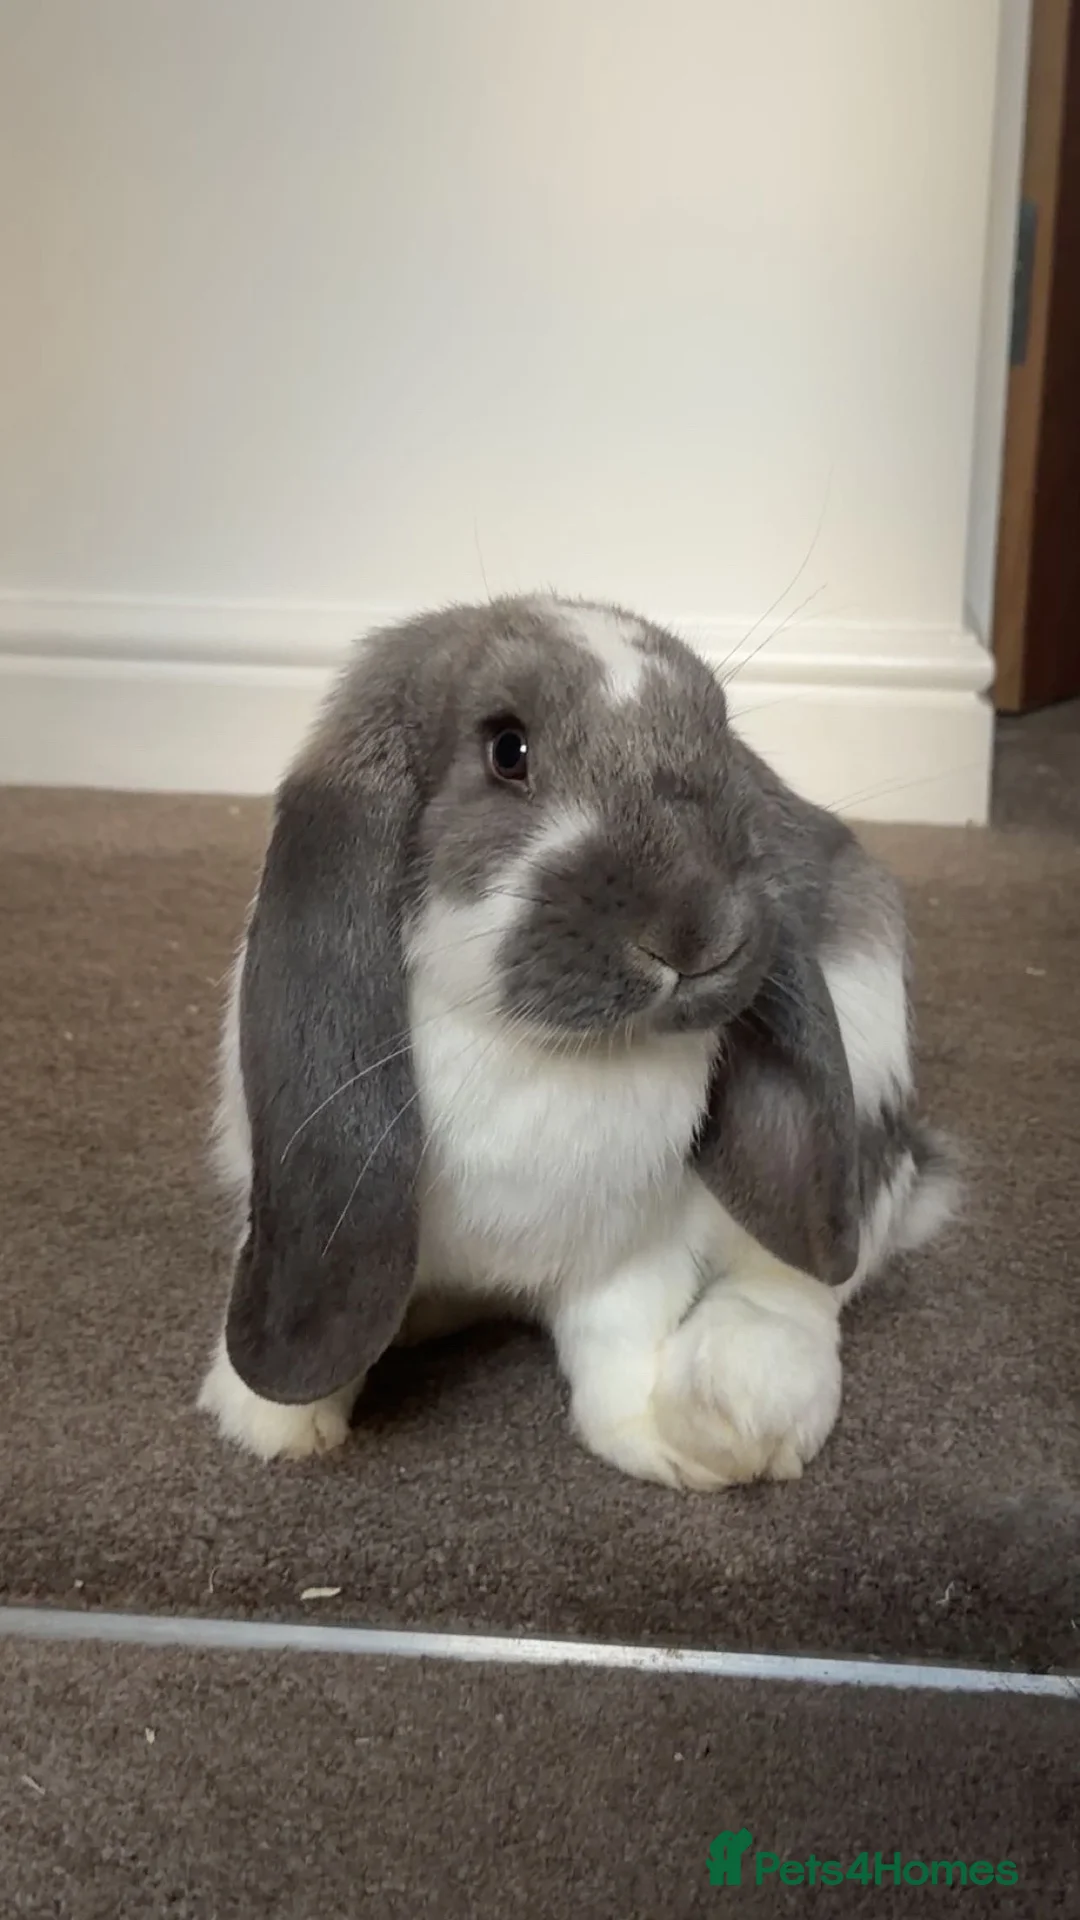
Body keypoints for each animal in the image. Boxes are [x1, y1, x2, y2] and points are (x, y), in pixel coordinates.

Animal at [197, 593, 956, 1488]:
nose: (699, 933)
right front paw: (272, 1423)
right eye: (507, 750)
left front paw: (649, 1439)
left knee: (808, 1275)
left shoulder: (630, 1248)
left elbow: (618, 1342)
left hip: (865, 1066)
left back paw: (732, 1409)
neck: (531, 1047)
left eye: (718, 737)